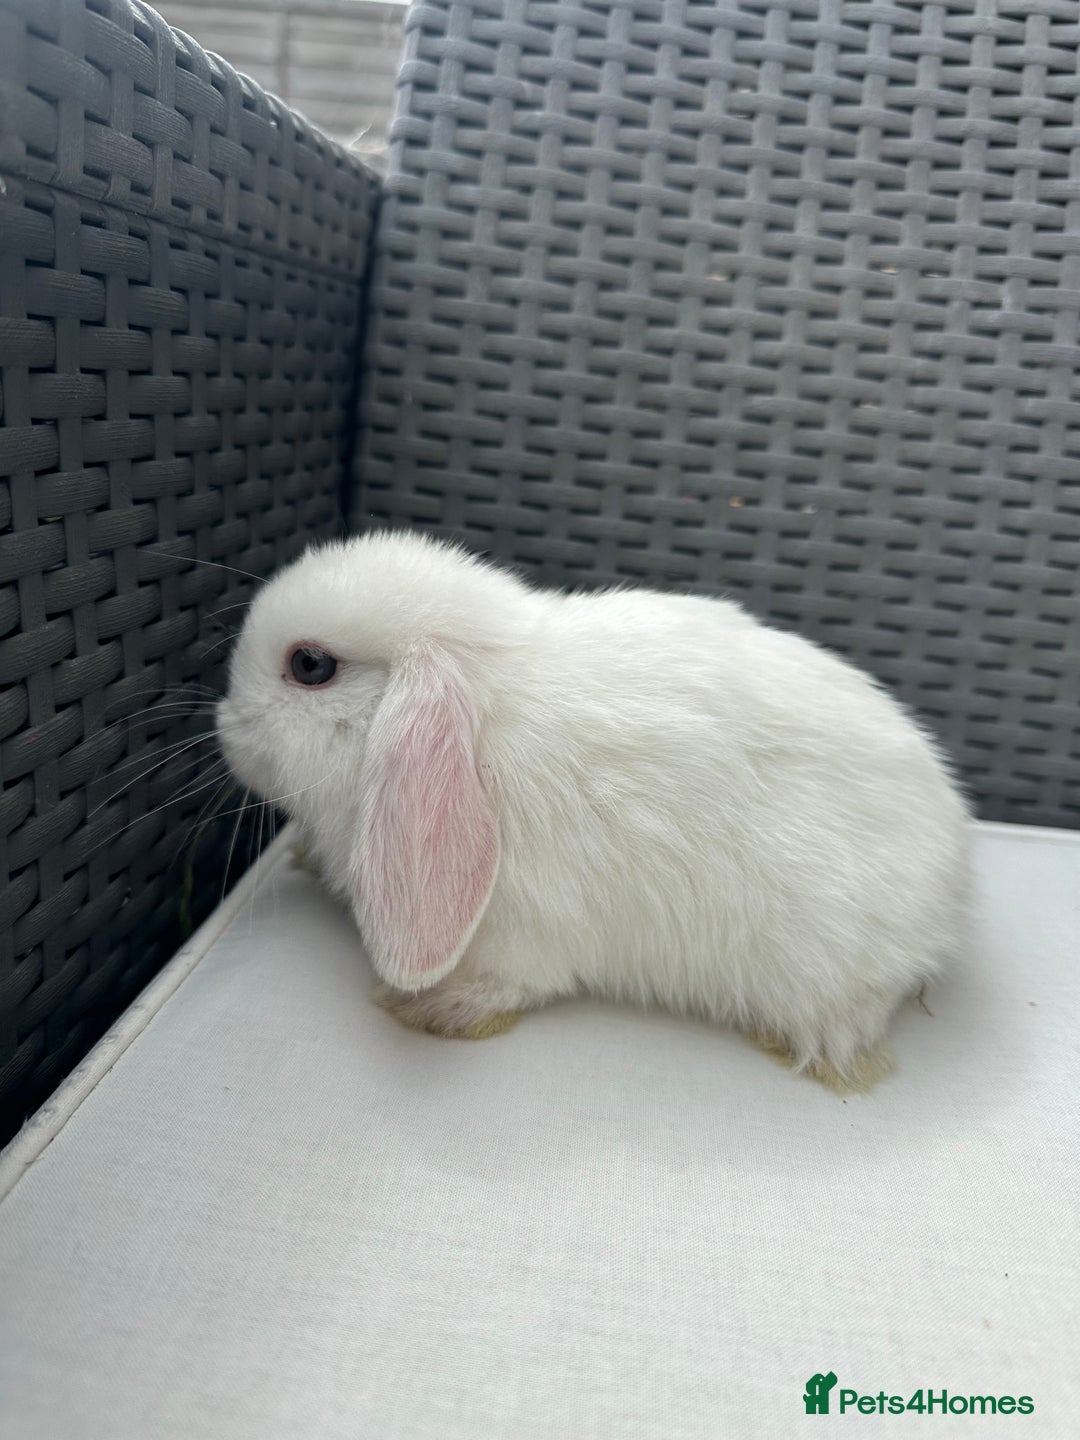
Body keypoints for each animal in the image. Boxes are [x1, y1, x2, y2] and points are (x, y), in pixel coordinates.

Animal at [216, 528, 972, 1092]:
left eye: (310, 665)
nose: (225, 725)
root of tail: (953, 892)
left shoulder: (525, 930)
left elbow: (511, 984)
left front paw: (434, 1009)